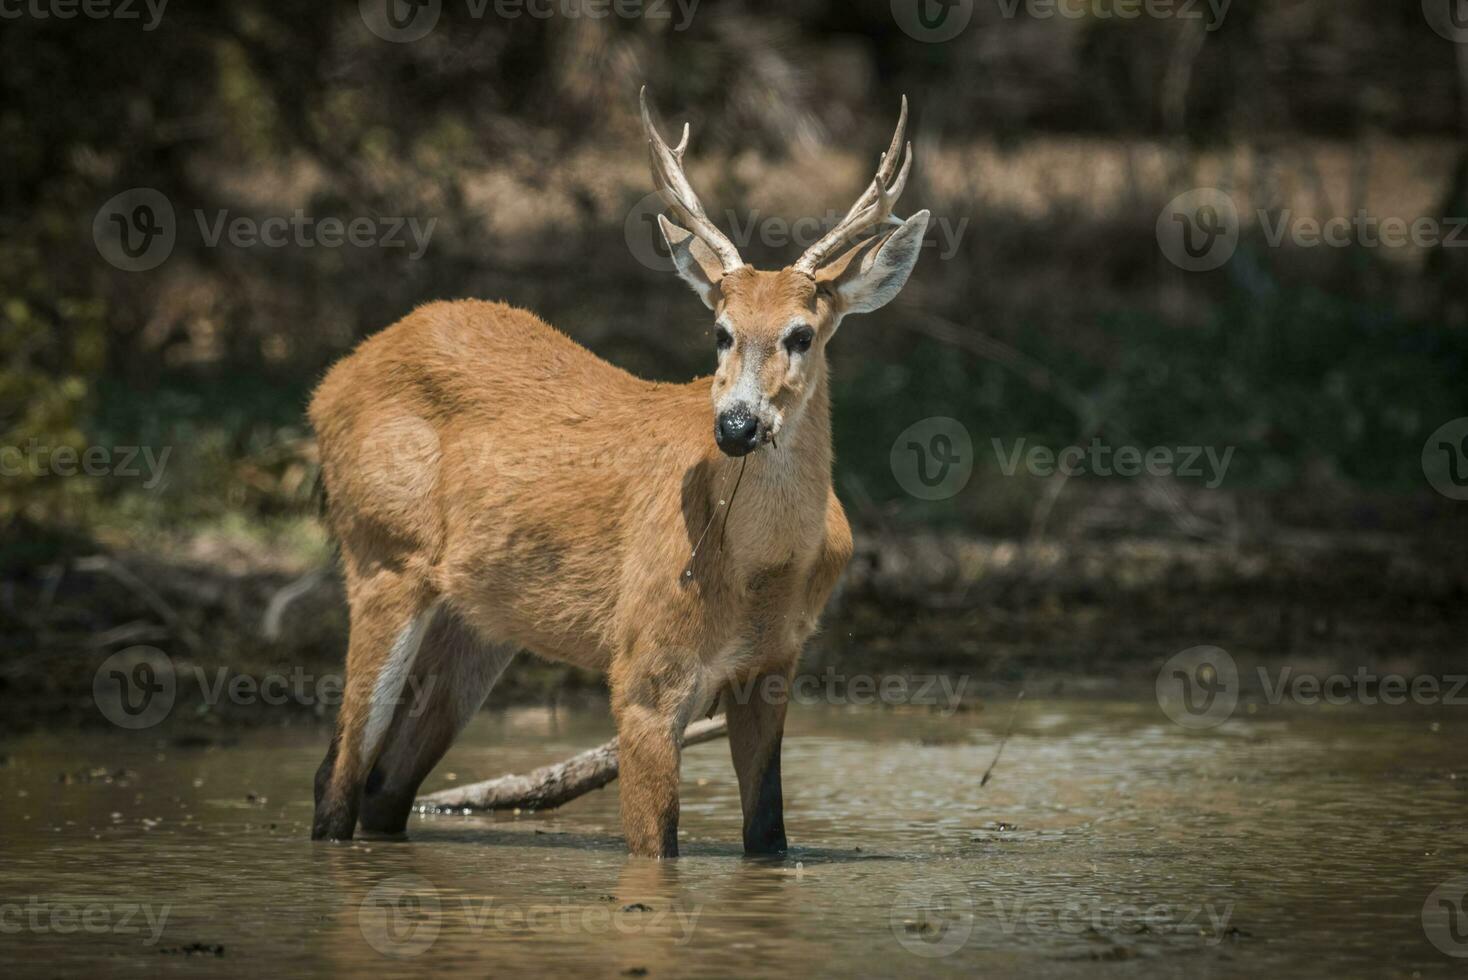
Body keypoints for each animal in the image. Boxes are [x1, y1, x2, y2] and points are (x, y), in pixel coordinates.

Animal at [309, 91, 927, 856]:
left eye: (802, 334)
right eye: (720, 331)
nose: (736, 427)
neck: (758, 569)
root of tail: (327, 387)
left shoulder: (773, 666)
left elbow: (769, 836)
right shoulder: (644, 670)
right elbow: (656, 849)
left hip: (479, 619)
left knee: (383, 787)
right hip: (383, 555)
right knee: (337, 778)